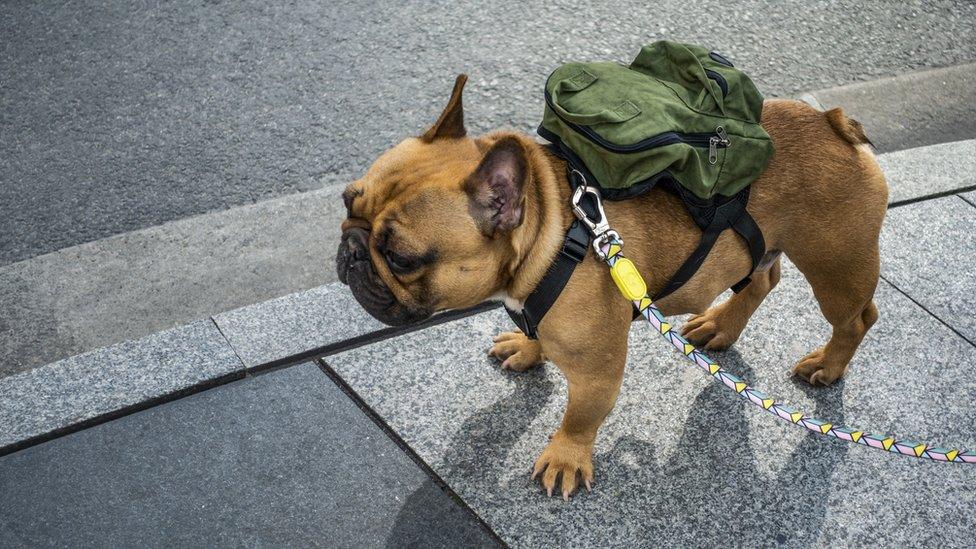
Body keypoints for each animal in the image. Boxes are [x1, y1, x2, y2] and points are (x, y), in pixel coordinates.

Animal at [338, 75, 892, 498]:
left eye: (401, 257)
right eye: (347, 200)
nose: (349, 249)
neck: (553, 236)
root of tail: (833, 122)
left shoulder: (597, 371)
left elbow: (581, 417)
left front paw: (565, 459)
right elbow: (537, 337)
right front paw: (527, 347)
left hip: (836, 265)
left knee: (857, 317)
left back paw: (827, 365)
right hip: (758, 245)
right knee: (763, 278)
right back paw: (720, 326)